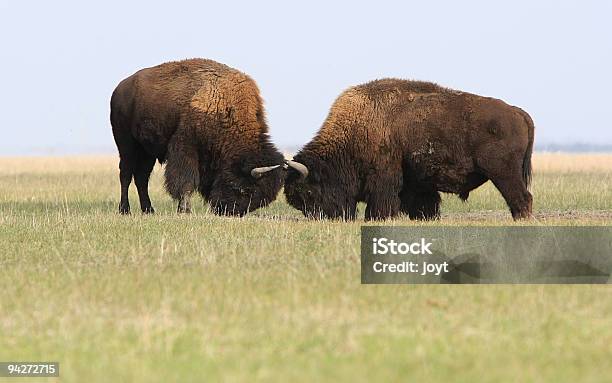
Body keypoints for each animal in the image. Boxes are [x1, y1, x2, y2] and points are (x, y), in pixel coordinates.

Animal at [112, 59, 284, 218]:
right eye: (245, 190)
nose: (229, 212)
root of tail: (119, 89)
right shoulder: (186, 148)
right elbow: (186, 180)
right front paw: (185, 210)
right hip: (127, 145)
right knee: (126, 174)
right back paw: (125, 210)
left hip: (147, 152)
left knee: (141, 177)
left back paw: (148, 210)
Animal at [284, 79, 532, 222]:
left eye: (309, 192)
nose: (322, 218)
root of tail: (517, 112)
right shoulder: (416, 181)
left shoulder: (384, 176)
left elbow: (382, 202)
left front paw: (376, 219)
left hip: (503, 173)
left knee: (521, 197)